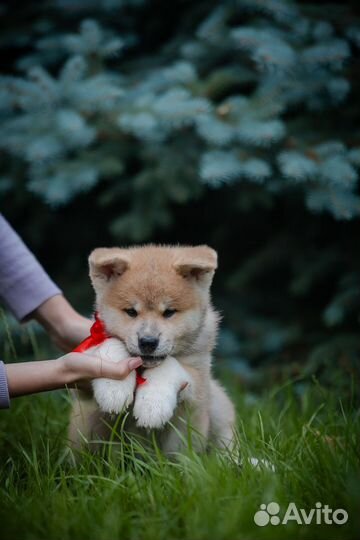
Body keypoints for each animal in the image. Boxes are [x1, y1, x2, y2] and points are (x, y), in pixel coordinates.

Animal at [69, 246, 236, 456]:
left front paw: (152, 405)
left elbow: (170, 364)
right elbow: (111, 343)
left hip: (217, 405)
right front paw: (114, 388)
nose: (148, 342)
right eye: (131, 312)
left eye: (169, 312)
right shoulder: (81, 390)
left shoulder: (199, 382)